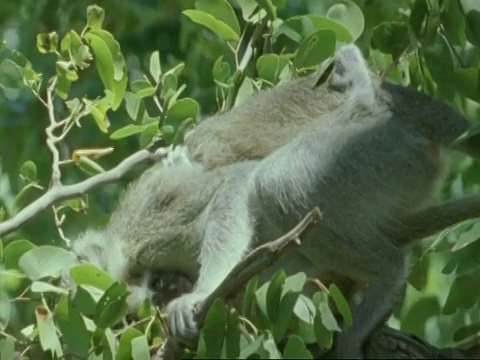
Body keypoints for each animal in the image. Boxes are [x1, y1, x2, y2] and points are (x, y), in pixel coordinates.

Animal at [67, 43, 480, 358]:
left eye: (153, 287)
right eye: (138, 313)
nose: (164, 290)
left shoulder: (150, 229)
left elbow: (235, 183)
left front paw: (200, 294)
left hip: (378, 146)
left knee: (277, 181)